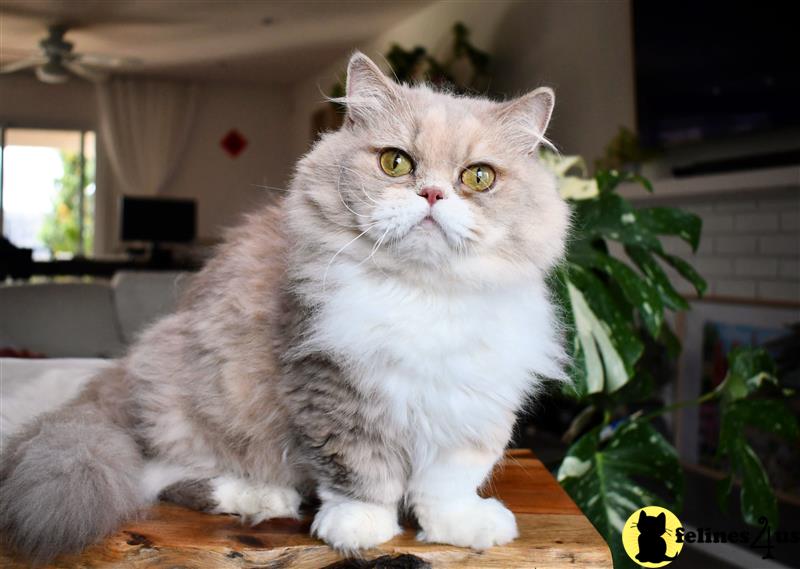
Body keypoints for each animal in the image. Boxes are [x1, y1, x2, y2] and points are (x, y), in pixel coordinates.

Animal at [0, 53, 572, 564]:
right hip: (186, 407)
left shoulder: (471, 403)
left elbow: (449, 482)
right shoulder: (330, 388)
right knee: (163, 477)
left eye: (478, 178)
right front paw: (359, 528)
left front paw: (461, 527)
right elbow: (360, 473)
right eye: (396, 163)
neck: (423, 294)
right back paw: (262, 497)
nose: (431, 194)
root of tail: (112, 385)